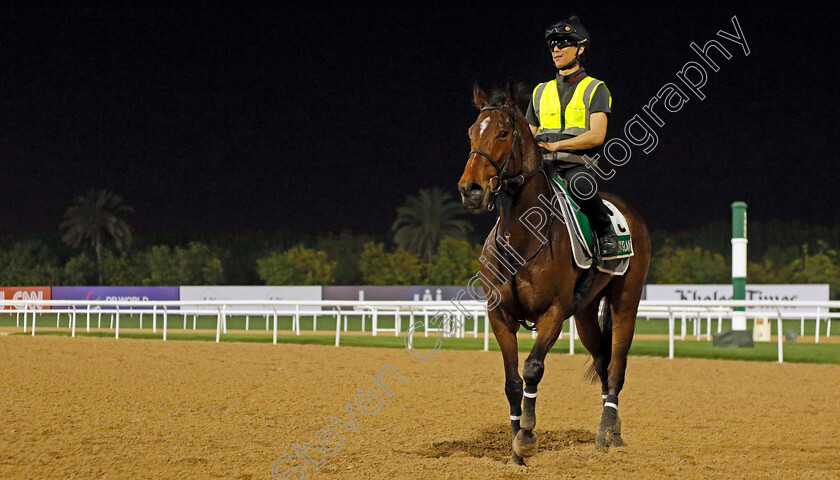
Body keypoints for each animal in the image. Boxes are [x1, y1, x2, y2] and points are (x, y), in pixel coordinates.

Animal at [460, 83, 648, 464]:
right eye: (471, 132)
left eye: (503, 132)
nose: (470, 189)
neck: (521, 237)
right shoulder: (499, 315)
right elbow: (512, 381)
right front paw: (515, 447)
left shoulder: (553, 313)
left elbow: (533, 368)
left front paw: (528, 434)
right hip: (586, 314)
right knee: (603, 363)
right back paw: (613, 430)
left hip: (626, 302)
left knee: (617, 367)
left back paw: (605, 435)